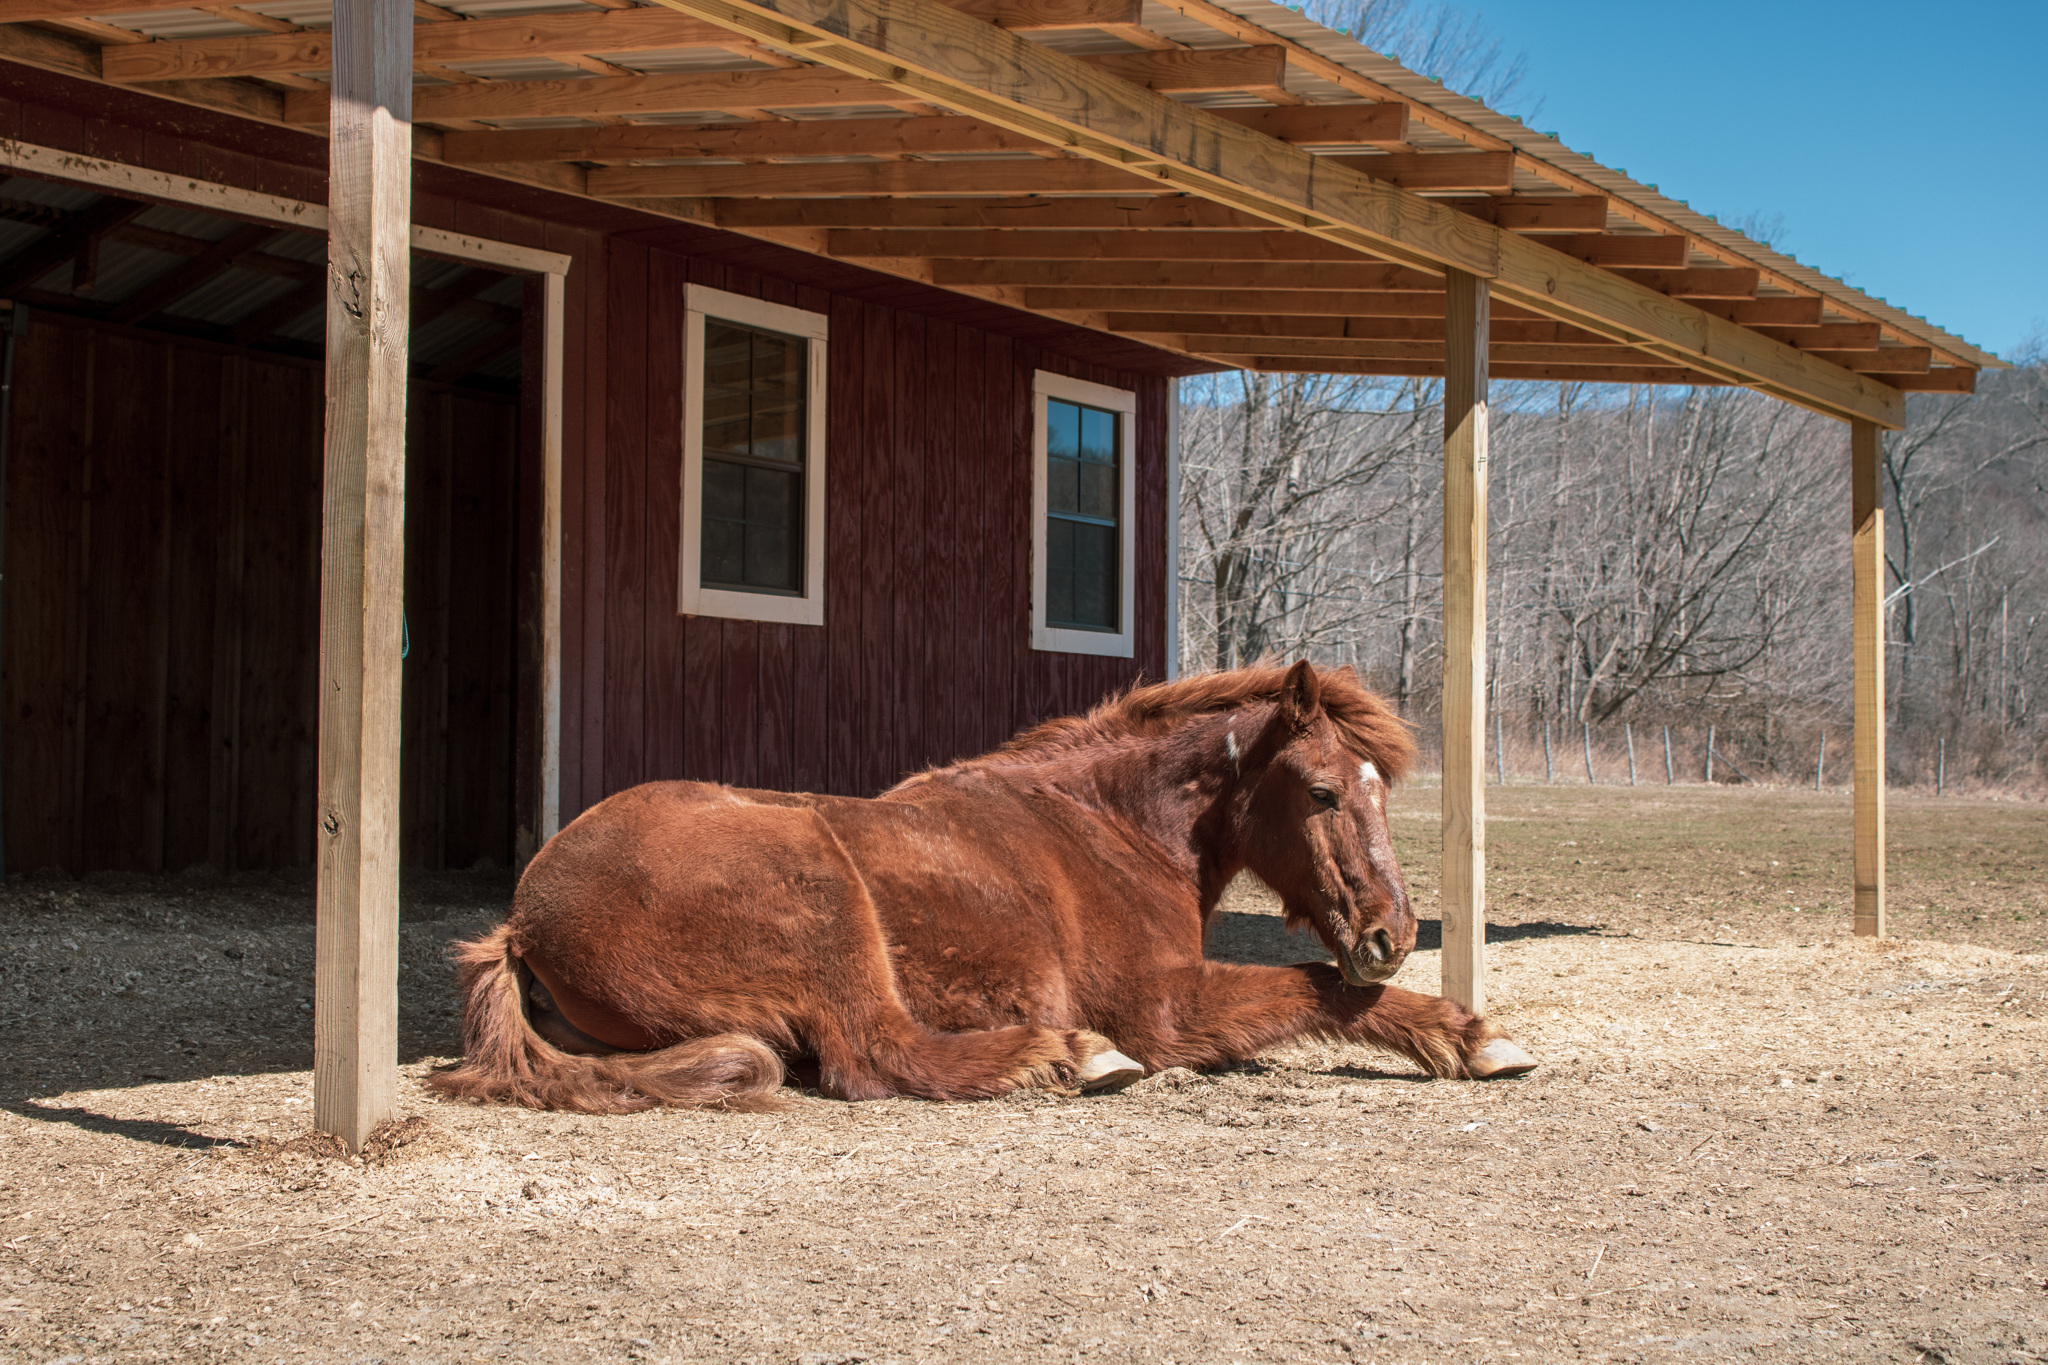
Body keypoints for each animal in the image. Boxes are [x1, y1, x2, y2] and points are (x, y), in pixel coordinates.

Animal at [428, 661, 1537, 1113]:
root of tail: (525, 920)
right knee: (874, 1056)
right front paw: (1471, 1036)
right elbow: (1321, 990)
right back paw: (1063, 1057)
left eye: (1379, 787)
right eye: (1320, 792)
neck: (1110, 829)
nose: (1391, 932)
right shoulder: (1166, 1009)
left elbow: (1330, 990)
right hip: (823, 895)